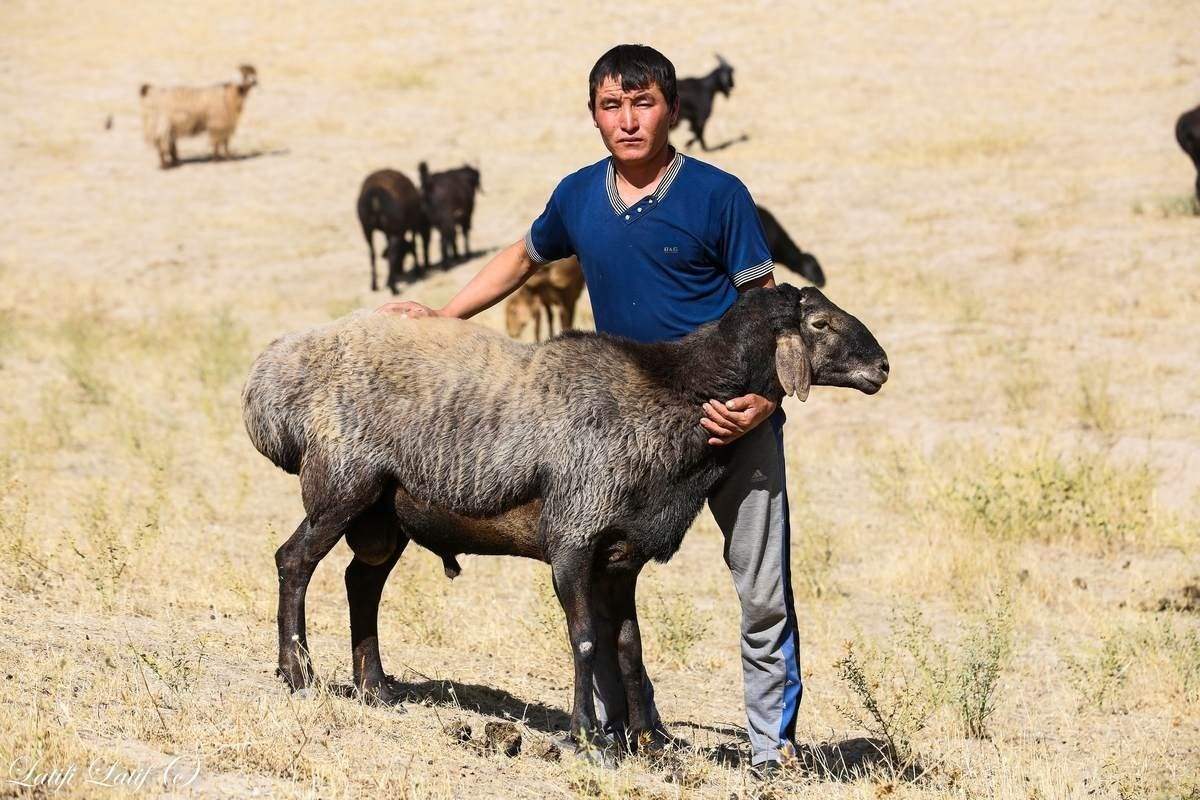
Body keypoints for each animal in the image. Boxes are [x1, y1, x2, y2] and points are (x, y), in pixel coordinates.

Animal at [243, 284, 888, 753]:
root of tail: (270, 382)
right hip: (342, 486)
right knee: (293, 561)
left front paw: (647, 740)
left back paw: (374, 686)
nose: (881, 366)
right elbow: (584, 639)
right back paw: (296, 672)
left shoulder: (622, 556)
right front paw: (587, 735)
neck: (674, 391)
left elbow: (628, 644)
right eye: (818, 324)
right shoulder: (574, 539)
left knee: (361, 582)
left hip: (385, 515)